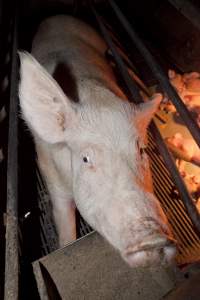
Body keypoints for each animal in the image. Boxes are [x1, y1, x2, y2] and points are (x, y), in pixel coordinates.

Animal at [18, 15, 176, 268]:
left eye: (141, 151)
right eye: (85, 158)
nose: (154, 239)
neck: (95, 98)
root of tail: (57, 15)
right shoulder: (50, 175)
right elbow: (65, 224)